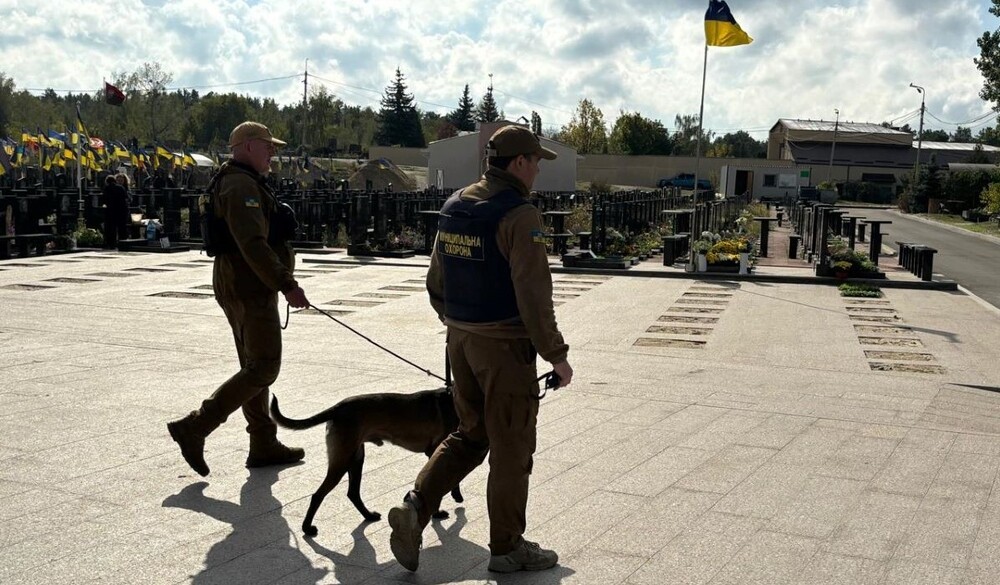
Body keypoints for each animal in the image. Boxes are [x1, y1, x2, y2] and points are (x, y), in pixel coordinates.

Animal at [270, 386, 464, 536]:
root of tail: (338, 408)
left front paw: (454, 496)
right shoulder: (438, 450)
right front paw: (439, 511)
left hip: (356, 458)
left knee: (353, 493)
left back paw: (368, 515)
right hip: (342, 460)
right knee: (318, 495)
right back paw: (307, 528)